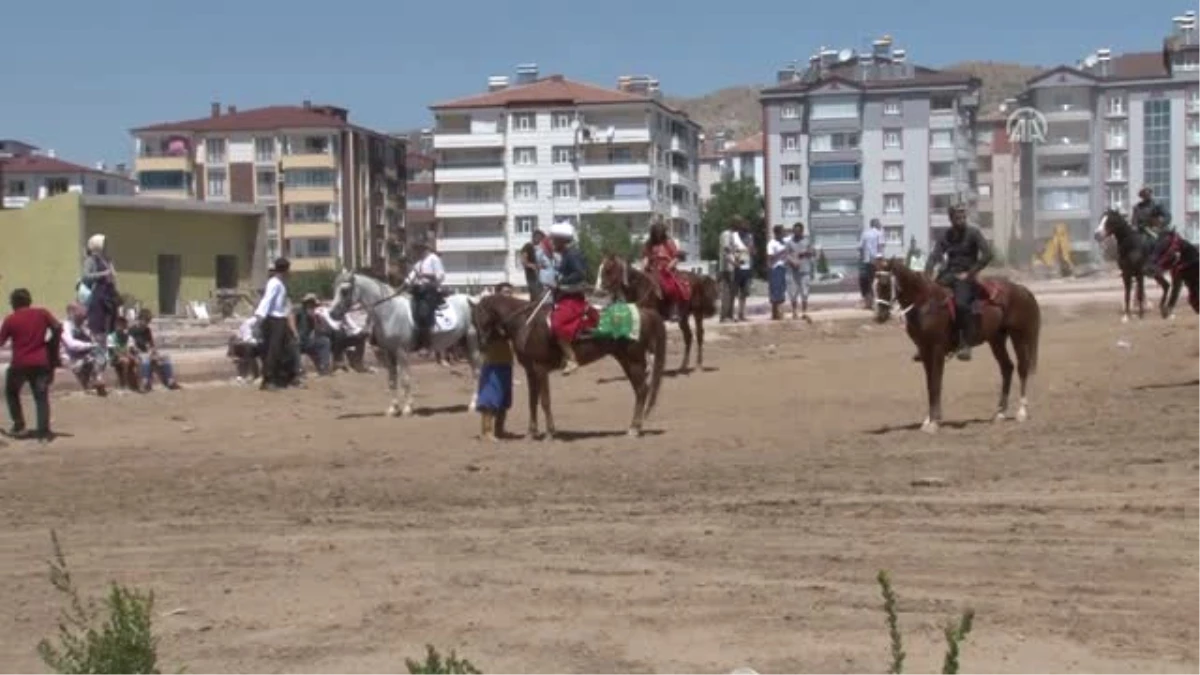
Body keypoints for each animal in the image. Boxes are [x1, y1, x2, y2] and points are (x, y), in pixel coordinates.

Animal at [331, 267, 480, 415]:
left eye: (344, 290)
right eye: (334, 288)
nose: (332, 313)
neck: (390, 312)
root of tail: (473, 300)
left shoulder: (401, 351)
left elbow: (405, 379)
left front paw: (408, 408)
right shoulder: (389, 352)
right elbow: (392, 379)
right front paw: (393, 408)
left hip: (473, 344)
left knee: (477, 372)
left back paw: (473, 405)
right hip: (463, 344)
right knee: (474, 371)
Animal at [470, 291, 667, 439]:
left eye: (482, 316)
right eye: (473, 320)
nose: (482, 343)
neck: (526, 323)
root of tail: (643, 311)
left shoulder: (540, 368)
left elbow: (545, 401)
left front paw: (550, 432)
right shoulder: (530, 371)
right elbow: (532, 401)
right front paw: (531, 433)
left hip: (633, 361)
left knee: (641, 390)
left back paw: (634, 429)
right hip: (626, 360)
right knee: (640, 391)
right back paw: (635, 427)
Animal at [873, 257, 1041, 429]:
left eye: (885, 284)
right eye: (873, 284)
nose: (879, 316)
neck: (926, 303)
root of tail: (1021, 289)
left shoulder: (937, 349)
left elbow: (936, 382)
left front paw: (934, 422)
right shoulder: (925, 350)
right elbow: (930, 384)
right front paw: (928, 420)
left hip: (1018, 336)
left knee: (1022, 368)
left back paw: (1022, 412)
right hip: (996, 339)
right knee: (1007, 368)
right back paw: (1000, 413)